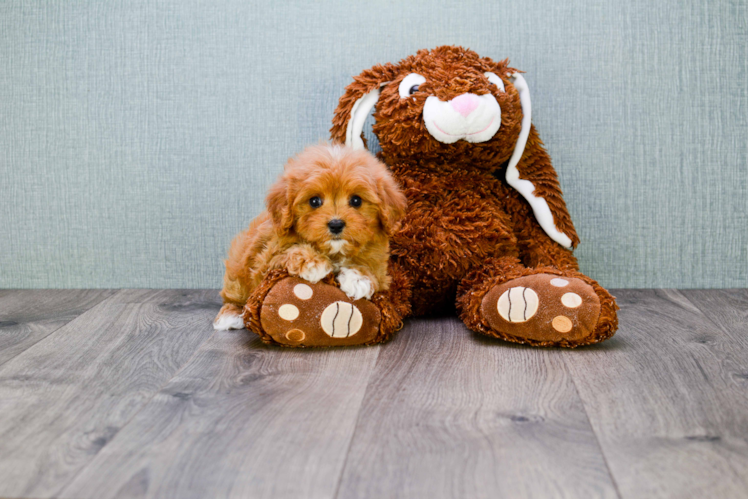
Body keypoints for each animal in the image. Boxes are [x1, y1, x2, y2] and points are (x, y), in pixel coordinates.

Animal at [213, 144, 406, 332]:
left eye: (356, 200)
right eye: (314, 201)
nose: (336, 224)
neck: (335, 252)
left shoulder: (380, 264)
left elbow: (373, 271)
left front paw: (359, 278)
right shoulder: (264, 264)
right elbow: (288, 251)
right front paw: (313, 263)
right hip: (238, 268)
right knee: (233, 295)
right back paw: (230, 315)